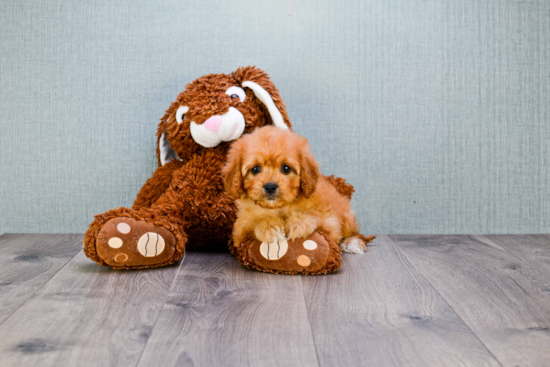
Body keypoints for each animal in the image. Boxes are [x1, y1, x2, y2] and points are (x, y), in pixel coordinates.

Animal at [222, 126, 374, 253]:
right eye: (255, 169)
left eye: (286, 168)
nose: (270, 186)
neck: (279, 207)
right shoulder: (239, 232)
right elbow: (253, 223)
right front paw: (269, 226)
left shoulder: (331, 223)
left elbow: (315, 216)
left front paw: (299, 223)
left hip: (347, 216)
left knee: (355, 233)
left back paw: (351, 243)